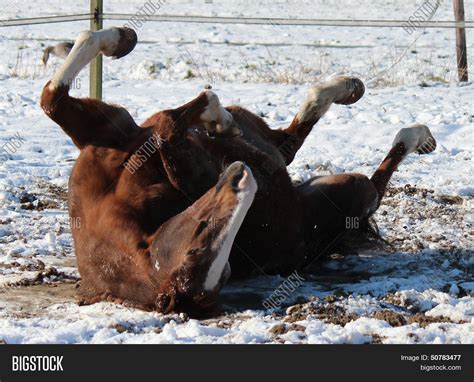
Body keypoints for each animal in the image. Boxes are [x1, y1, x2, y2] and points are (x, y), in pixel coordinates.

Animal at [40, 26, 436, 314]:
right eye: (196, 246)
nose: (239, 176)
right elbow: (174, 122)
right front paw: (219, 119)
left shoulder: (110, 132)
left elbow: (53, 98)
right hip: (347, 189)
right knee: (375, 185)